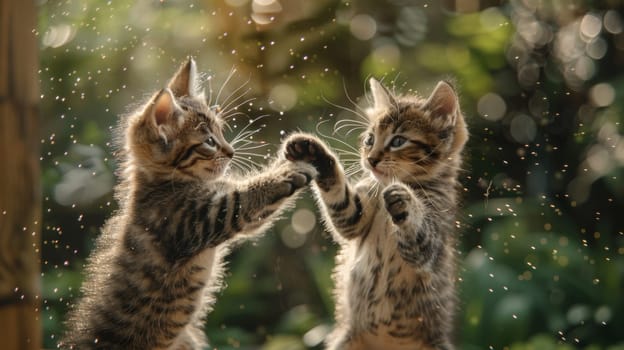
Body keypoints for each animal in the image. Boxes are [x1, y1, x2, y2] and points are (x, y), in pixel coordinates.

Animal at [61, 58, 316, 348]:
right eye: (209, 141)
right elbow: (245, 196)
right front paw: (287, 172)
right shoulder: (200, 218)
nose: (231, 152)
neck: (163, 184)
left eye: (221, 130)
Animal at [286, 79, 466, 350]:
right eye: (370, 139)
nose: (370, 160)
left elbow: (419, 236)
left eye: (398, 141)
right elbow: (339, 197)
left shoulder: (430, 245)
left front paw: (404, 199)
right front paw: (315, 154)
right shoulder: (352, 216)